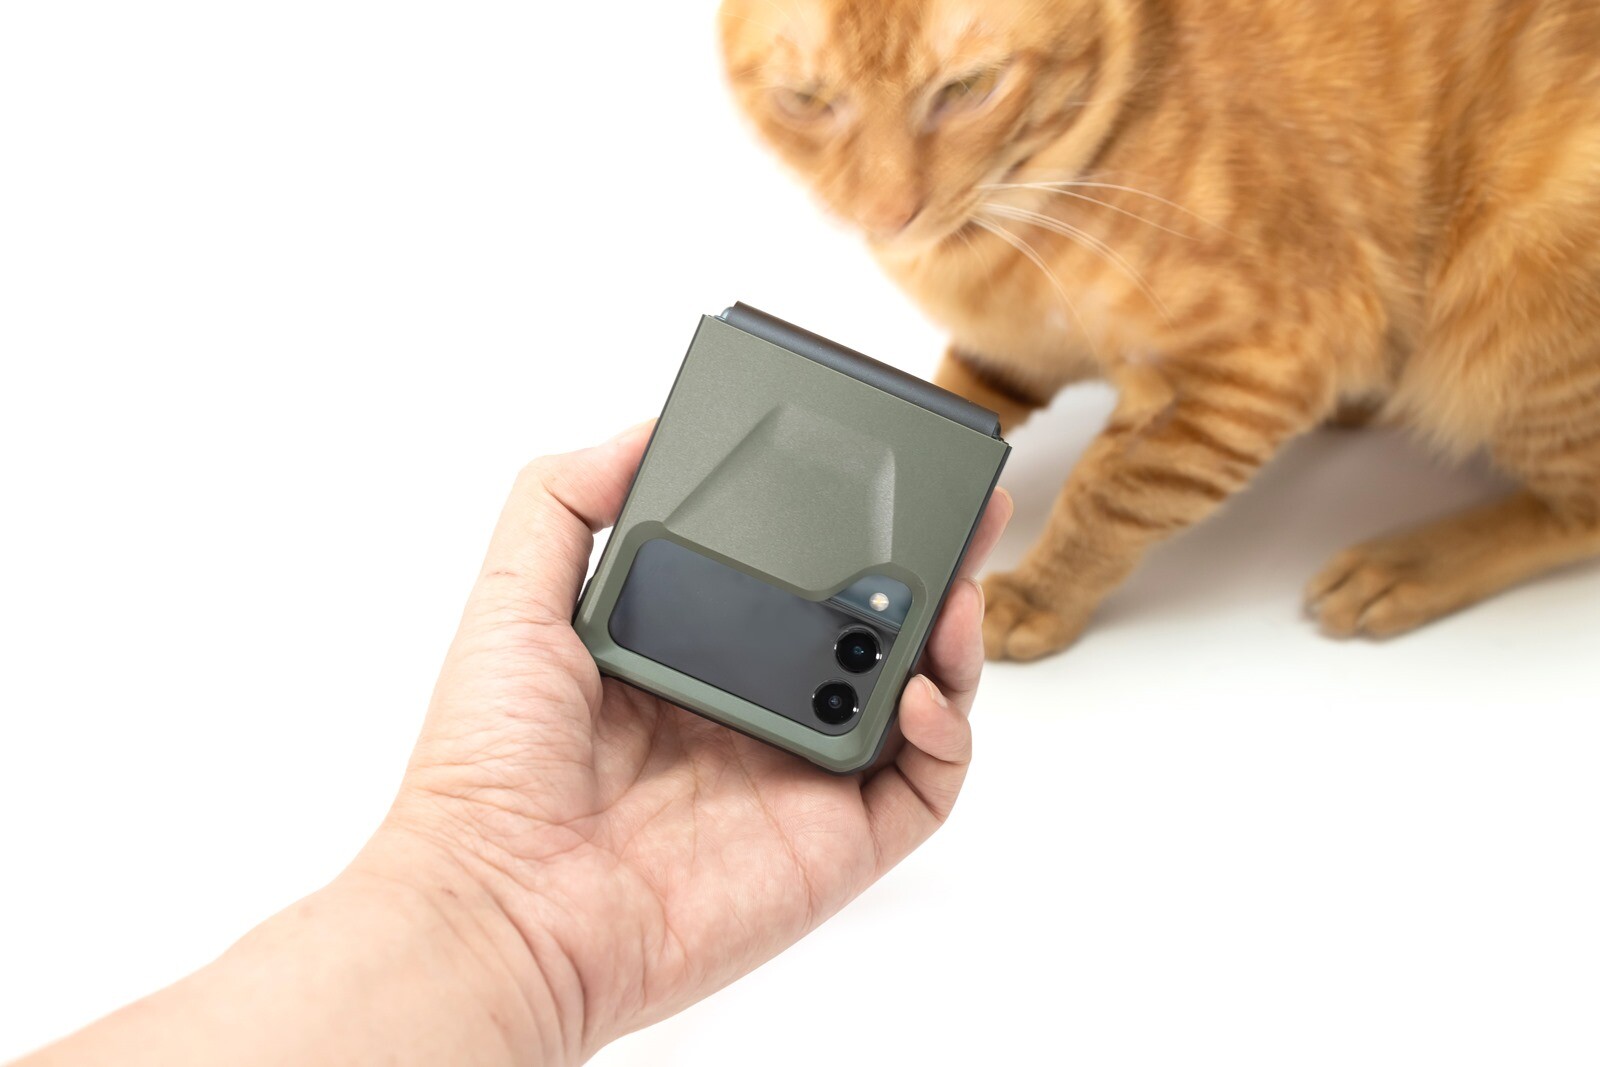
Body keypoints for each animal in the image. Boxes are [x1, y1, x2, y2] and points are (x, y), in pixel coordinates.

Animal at [718, 0, 1600, 660]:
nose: (887, 214)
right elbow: (932, 403)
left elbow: (1112, 492)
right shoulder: (1007, 353)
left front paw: (1041, 591)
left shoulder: (1254, 369)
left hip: (1514, 295)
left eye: (968, 88)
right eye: (806, 101)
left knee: (1580, 512)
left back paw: (1405, 562)